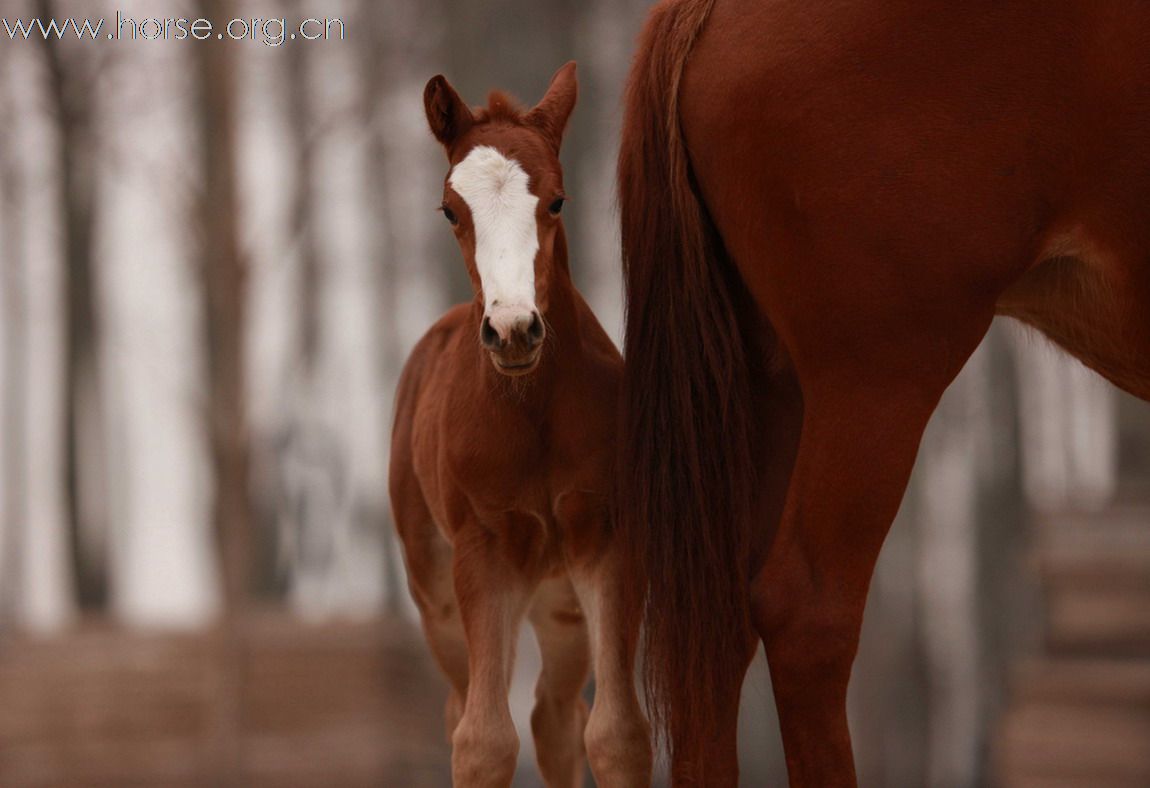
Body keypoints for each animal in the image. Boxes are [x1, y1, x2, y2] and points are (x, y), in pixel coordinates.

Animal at [391, 66, 653, 786]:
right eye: (450, 211)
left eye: (558, 202)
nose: (512, 330)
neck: (531, 414)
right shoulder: (484, 554)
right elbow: (483, 741)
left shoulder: (606, 543)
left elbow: (617, 734)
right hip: (438, 601)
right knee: (464, 710)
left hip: (560, 607)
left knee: (556, 719)